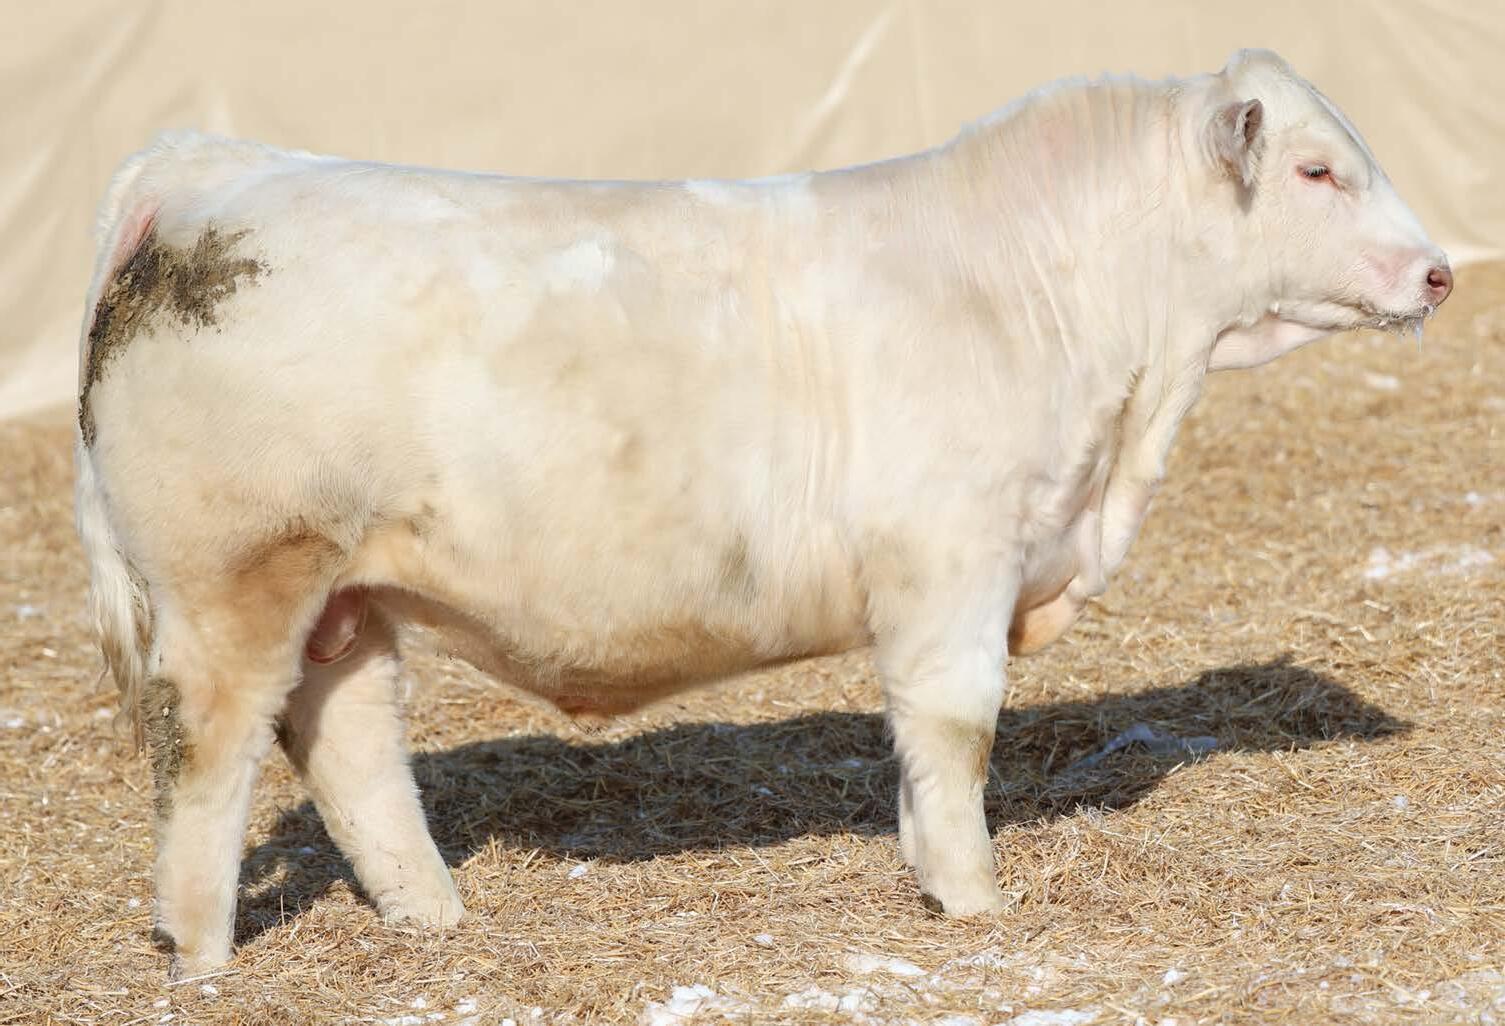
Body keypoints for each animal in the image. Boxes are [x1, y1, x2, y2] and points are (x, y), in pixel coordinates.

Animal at [74, 48, 1451, 977]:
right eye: (1316, 168)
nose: (1439, 270)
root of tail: (210, 167)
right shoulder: (952, 560)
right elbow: (955, 730)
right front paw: (971, 897)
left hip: (345, 597)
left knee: (349, 741)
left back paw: (431, 913)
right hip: (234, 578)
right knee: (208, 752)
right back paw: (199, 953)